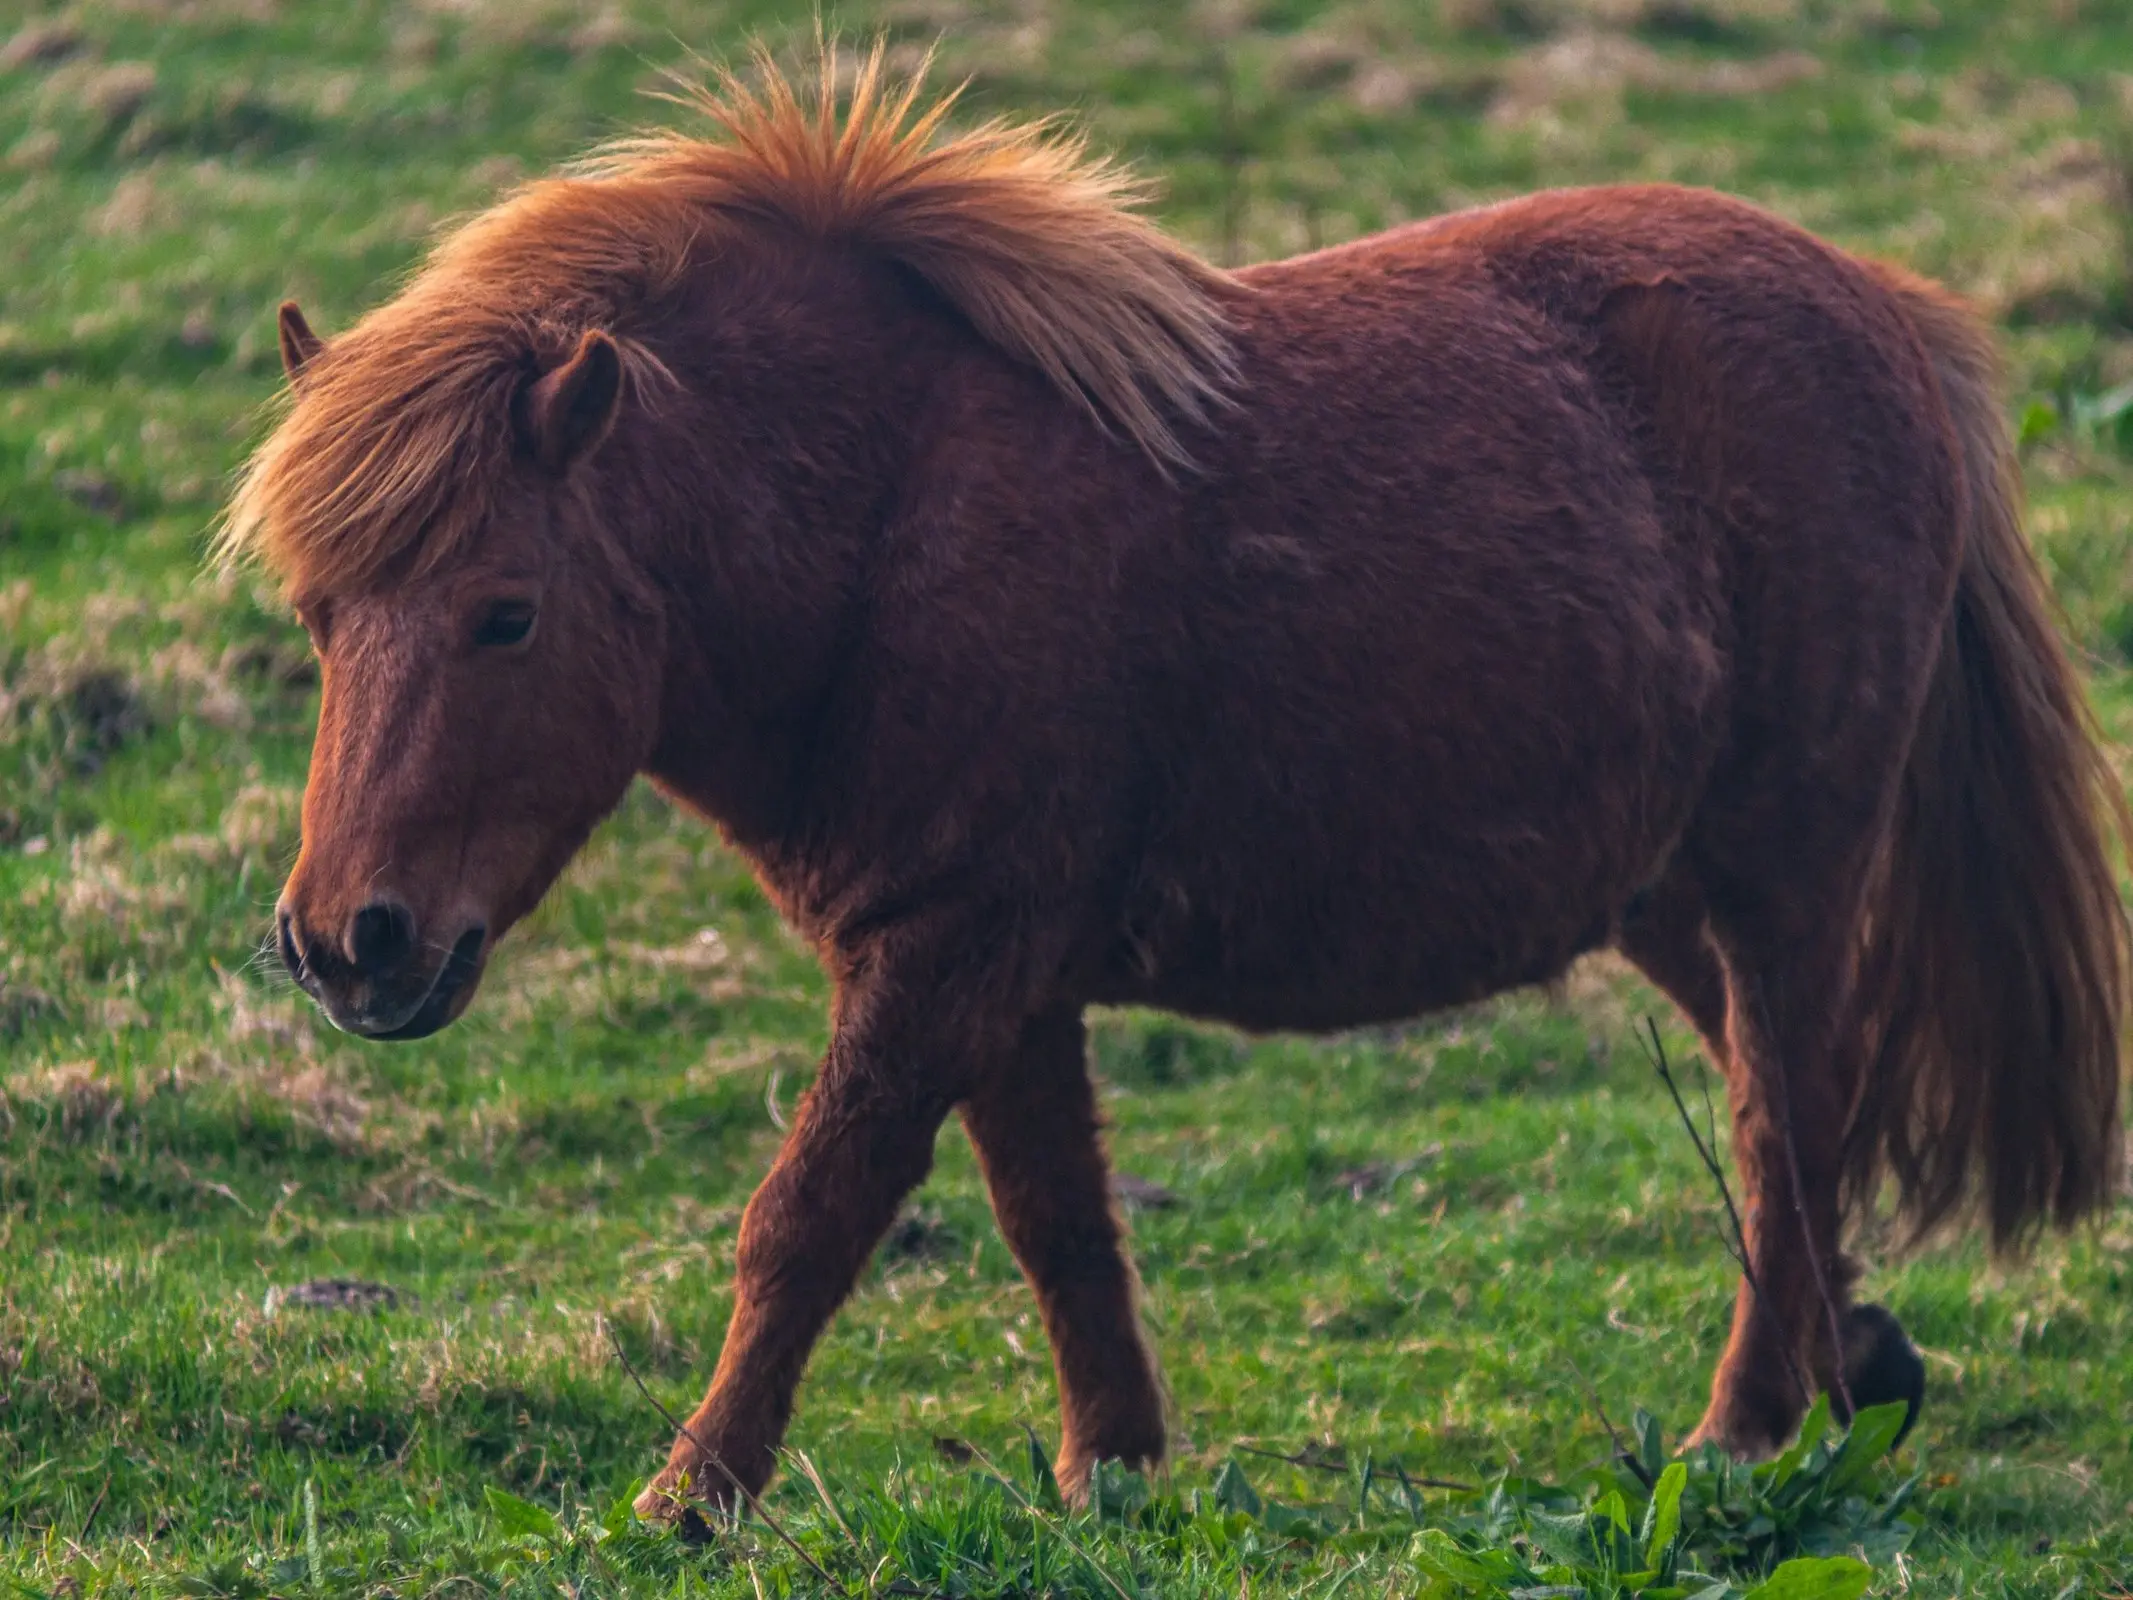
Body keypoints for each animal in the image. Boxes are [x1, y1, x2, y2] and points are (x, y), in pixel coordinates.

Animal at [225, 53, 2124, 1518]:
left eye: (505, 613)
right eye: (318, 616)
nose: (347, 945)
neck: (885, 513)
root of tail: (1880, 311)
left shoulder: (949, 949)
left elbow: (810, 1217)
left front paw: (693, 1493)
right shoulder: (994, 967)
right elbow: (1056, 1223)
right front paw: (1116, 1473)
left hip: (1784, 863)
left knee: (1785, 1111)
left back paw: (1743, 1429)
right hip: (1661, 887)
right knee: (1778, 1092)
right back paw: (1856, 1363)